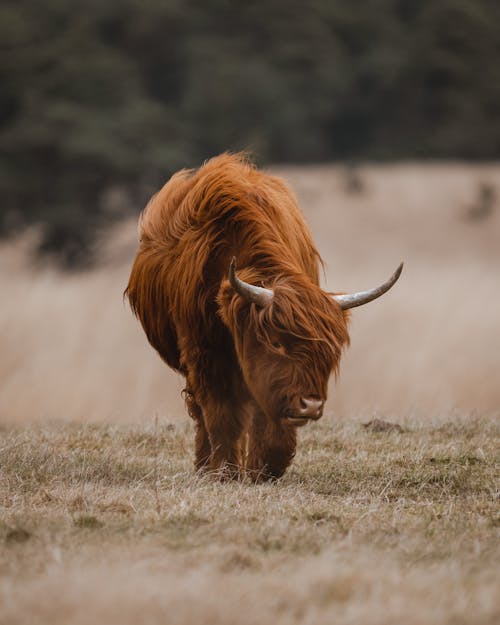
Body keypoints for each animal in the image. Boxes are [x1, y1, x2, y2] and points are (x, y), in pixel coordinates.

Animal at [126, 154, 402, 480]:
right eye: (276, 343)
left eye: (328, 350)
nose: (310, 405)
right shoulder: (204, 355)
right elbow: (220, 416)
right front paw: (226, 472)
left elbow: (263, 417)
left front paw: (266, 467)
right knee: (202, 415)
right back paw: (205, 467)